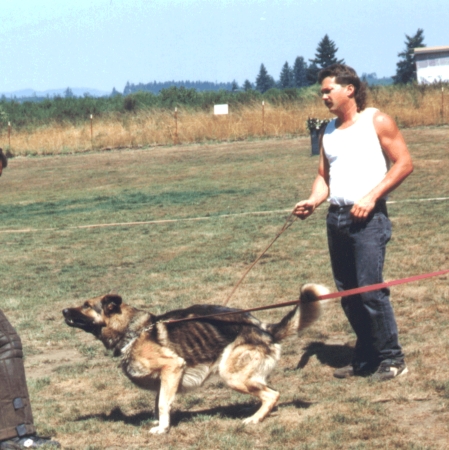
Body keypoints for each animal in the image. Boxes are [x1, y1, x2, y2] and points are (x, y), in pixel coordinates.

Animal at [62, 284, 326, 434]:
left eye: (86, 305)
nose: (63, 311)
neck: (132, 330)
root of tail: (264, 328)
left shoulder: (172, 367)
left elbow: (162, 404)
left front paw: (162, 430)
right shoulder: (163, 381)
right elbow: (160, 403)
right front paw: (162, 424)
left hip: (231, 375)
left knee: (272, 395)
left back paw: (253, 420)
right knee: (266, 392)